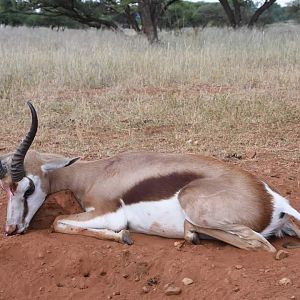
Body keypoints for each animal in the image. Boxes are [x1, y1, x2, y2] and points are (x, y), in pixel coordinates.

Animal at [0, 102, 300, 252]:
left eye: (28, 188)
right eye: (6, 188)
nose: (11, 229)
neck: (94, 174)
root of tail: (273, 199)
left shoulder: (109, 213)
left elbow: (57, 222)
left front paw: (123, 236)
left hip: (193, 203)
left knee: (261, 245)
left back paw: (192, 234)